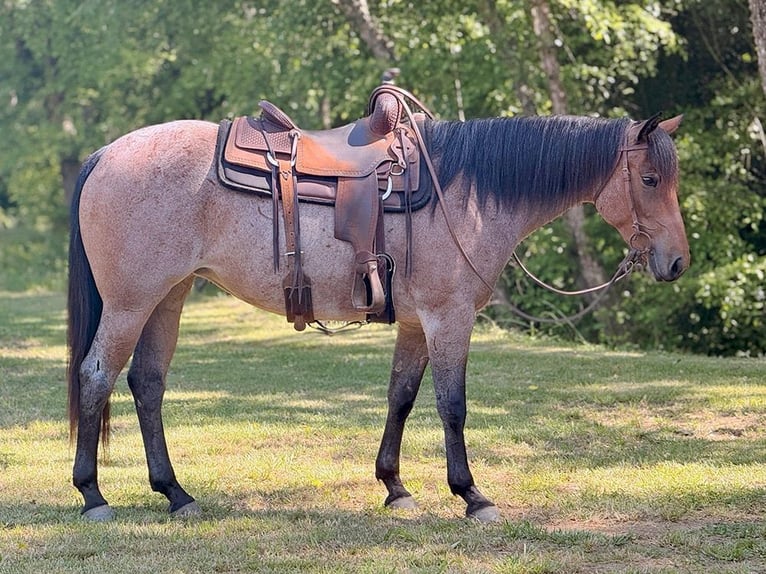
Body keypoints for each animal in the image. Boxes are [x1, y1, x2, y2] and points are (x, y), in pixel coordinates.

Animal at [67, 104, 689, 522]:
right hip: (130, 304)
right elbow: (452, 406)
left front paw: (394, 486)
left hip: (166, 299)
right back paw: (93, 495)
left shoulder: (416, 323)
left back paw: (175, 494)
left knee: (147, 384)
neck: (466, 195)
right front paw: (471, 495)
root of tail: (104, 155)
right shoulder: (448, 317)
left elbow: (401, 398)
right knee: (96, 377)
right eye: (650, 179)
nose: (677, 262)